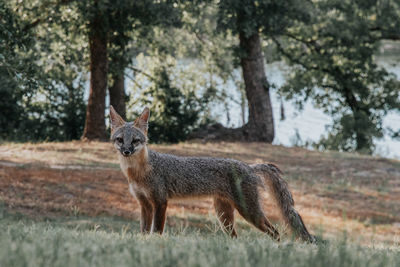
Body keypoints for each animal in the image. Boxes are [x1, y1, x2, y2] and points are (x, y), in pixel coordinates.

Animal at [109, 106, 316, 243]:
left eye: (135, 141)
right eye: (120, 140)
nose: (126, 151)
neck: (138, 172)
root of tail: (249, 166)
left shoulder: (160, 202)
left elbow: (157, 231)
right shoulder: (144, 204)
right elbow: (144, 231)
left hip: (250, 213)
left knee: (276, 232)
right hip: (224, 216)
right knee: (236, 238)